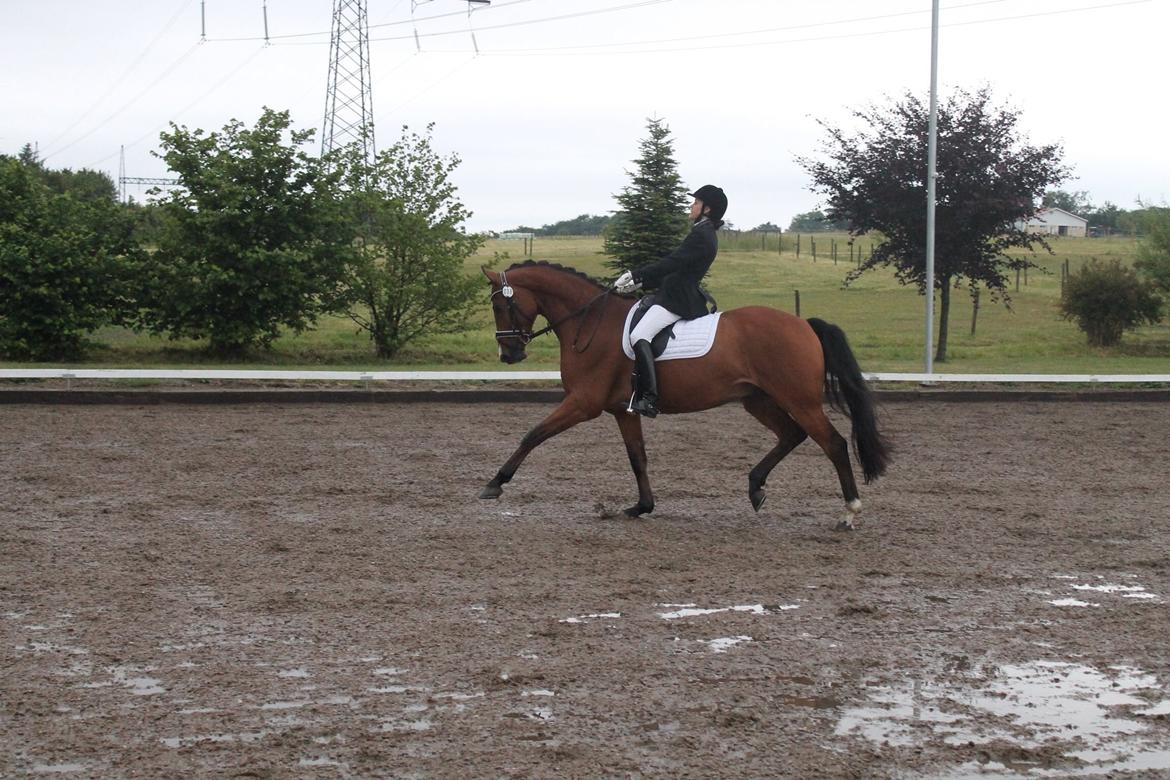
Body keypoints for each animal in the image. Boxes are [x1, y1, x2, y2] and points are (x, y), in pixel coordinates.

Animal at [479, 261, 889, 530]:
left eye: (499, 305)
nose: (508, 355)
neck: (590, 323)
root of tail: (804, 324)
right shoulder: (623, 410)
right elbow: (638, 458)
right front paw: (641, 507)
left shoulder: (584, 403)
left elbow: (533, 434)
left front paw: (494, 484)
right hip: (758, 399)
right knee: (792, 435)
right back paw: (755, 488)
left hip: (798, 400)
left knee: (833, 443)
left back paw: (849, 512)